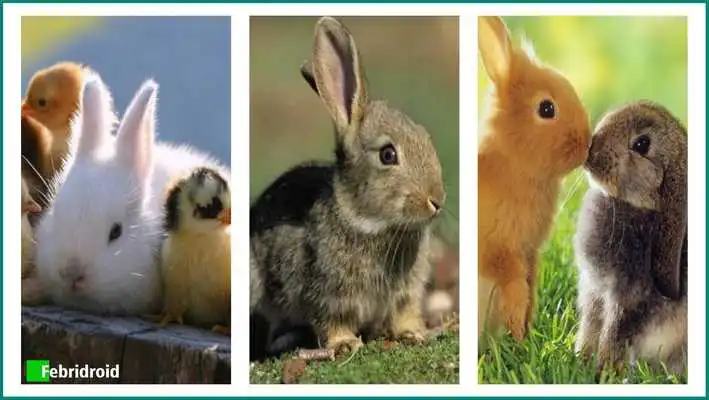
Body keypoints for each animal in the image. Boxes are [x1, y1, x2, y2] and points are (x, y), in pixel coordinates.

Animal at [250, 16, 446, 356]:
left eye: (425, 137)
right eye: (388, 154)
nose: (437, 200)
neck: (368, 223)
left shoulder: (406, 293)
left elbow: (404, 313)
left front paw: (414, 333)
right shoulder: (326, 292)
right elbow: (332, 321)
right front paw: (344, 344)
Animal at [477, 16, 591, 344]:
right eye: (546, 108)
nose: (587, 144)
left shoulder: (530, 251)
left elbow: (530, 278)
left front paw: (524, 332)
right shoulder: (497, 247)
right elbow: (514, 280)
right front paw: (517, 328)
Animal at [574, 101, 687, 375]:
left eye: (641, 144)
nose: (591, 150)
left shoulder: (627, 295)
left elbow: (614, 333)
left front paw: (604, 372)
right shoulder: (594, 290)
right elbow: (590, 325)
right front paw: (580, 360)